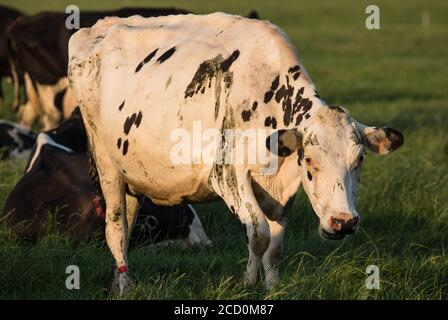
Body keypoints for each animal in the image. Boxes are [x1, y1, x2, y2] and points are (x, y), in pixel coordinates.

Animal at [67, 13, 406, 296]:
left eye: (359, 160)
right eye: (310, 160)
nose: (343, 222)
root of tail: (97, 27)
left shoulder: (282, 190)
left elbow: (275, 246)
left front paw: (271, 288)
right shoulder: (227, 175)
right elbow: (259, 235)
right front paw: (247, 283)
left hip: (132, 176)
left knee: (127, 226)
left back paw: (117, 282)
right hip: (106, 164)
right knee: (116, 229)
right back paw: (125, 287)